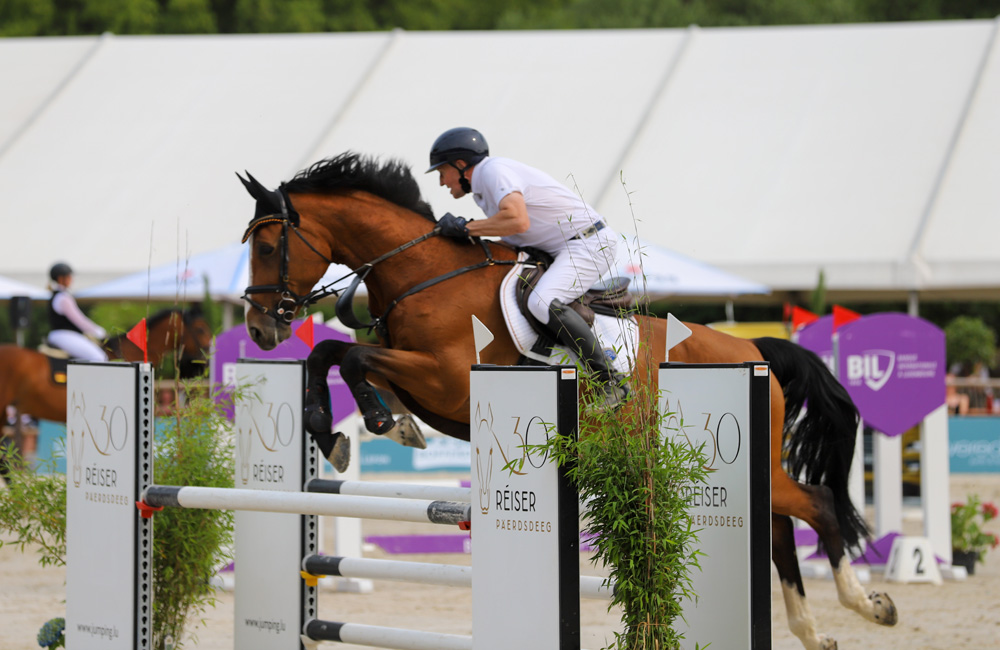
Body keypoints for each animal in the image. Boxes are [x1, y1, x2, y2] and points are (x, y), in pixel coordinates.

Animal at [238, 152, 897, 650]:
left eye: (269, 247)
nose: (260, 330)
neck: (425, 276)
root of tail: (750, 348)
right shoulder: (421, 380)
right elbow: (332, 353)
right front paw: (349, 429)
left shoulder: (445, 378)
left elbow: (350, 357)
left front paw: (367, 423)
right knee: (781, 526)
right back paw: (813, 631)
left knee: (816, 506)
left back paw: (867, 604)